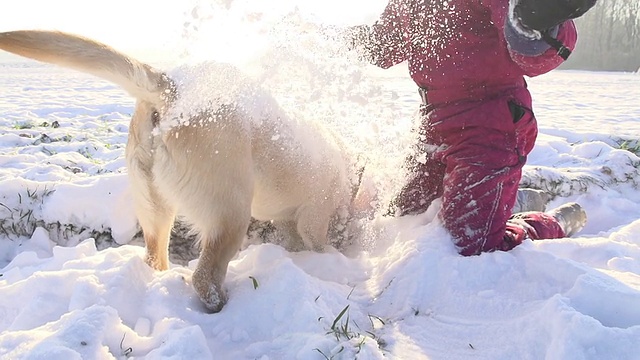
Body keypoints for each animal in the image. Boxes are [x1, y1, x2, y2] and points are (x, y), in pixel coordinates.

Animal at [0, 30, 356, 312]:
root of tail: (174, 87)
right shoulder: (314, 215)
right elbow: (317, 241)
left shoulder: (289, 219)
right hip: (230, 210)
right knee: (204, 276)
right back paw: (220, 303)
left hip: (154, 205)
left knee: (155, 256)